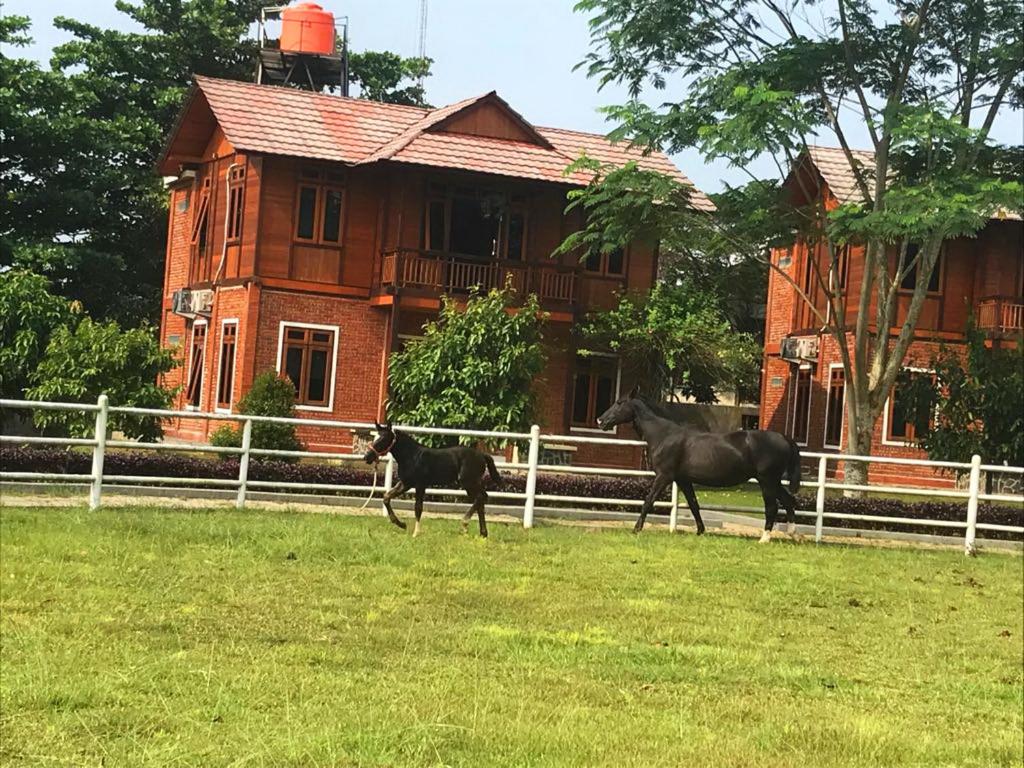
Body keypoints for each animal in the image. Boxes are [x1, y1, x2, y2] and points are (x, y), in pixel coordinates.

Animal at [364, 423, 499, 536]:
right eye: (375, 437)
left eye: (383, 439)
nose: (367, 457)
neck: (412, 456)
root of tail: (482, 455)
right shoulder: (406, 484)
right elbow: (386, 497)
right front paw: (401, 524)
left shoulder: (420, 485)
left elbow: (418, 507)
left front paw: (416, 533)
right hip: (471, 484)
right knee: (481, 499)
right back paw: (483, 533)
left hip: (469, 482)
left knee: (481, 497)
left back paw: (465, 523)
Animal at [598, 387, 802, 544]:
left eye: (619, 402)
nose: (600, 420)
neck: (665, 435)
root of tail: (784, 438)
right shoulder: (683, 480)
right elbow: (693, 504)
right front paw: (700, 531)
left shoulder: (664, 477)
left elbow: (648, 501)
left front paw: (636, 529)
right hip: (773, 482)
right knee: (789, 501)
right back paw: (793, 535)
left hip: (767, 481)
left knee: (773, 507)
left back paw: (764, 538)